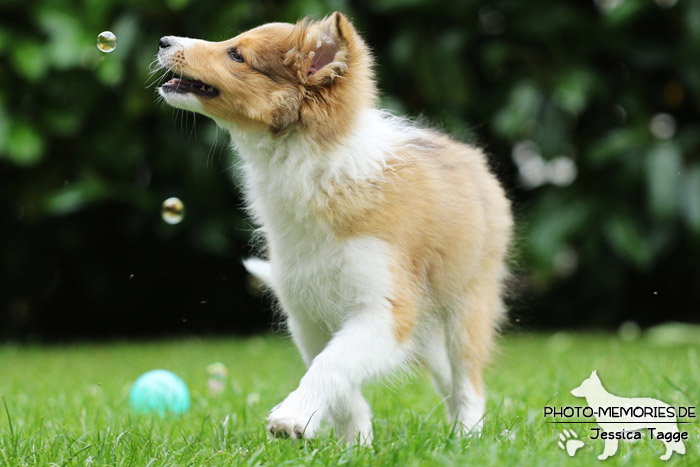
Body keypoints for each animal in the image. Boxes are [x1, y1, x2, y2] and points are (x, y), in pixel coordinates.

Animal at [156, 11, 512, 446]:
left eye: (237, 55)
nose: (162, 41)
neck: (303, 162)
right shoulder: (307, 316)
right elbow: (335, 374)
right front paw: (354, 442)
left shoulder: (384, 308)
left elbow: (333, 364)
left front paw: (290, 418)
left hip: (466, 305)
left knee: (467, 379)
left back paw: (467, 436)